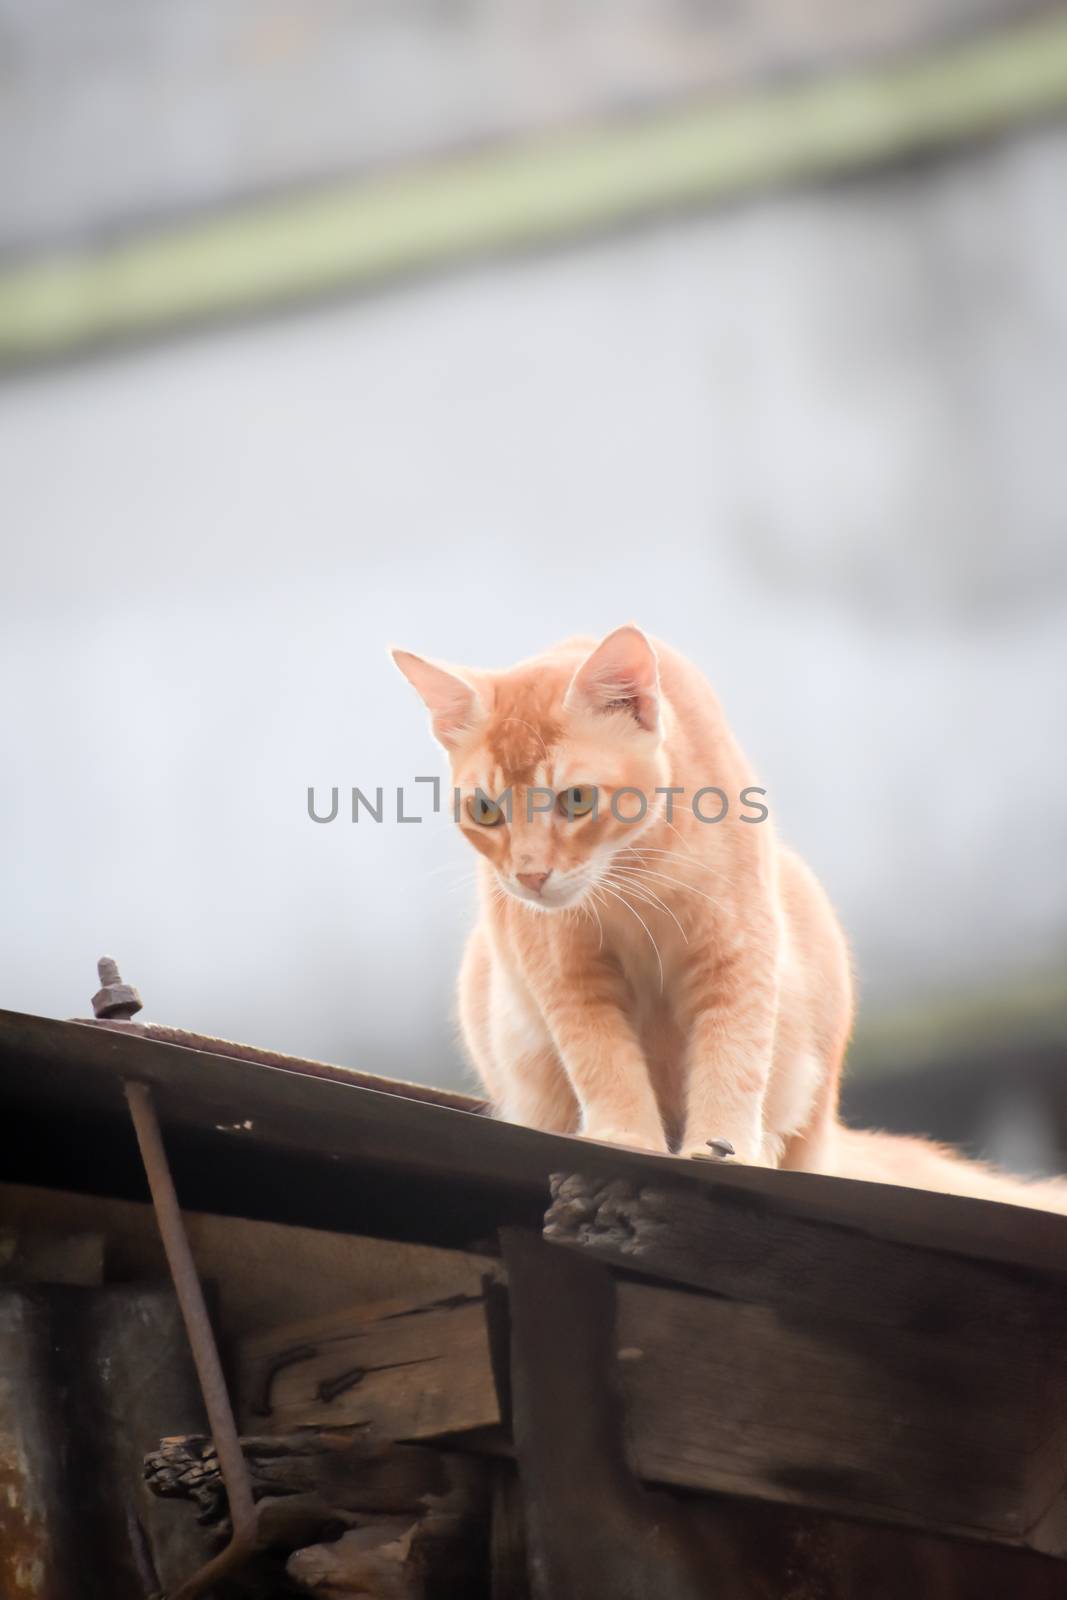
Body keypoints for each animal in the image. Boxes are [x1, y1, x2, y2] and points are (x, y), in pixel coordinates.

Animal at [395, 624, 1067, 1209]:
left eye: (577, 798)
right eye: (485, 809)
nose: (530, 875)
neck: (634, 880)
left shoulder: (739, 950)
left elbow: (733, 1056)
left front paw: (725, 1149)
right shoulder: (566, 974)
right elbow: (602, 1059)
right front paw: (625, 1139)